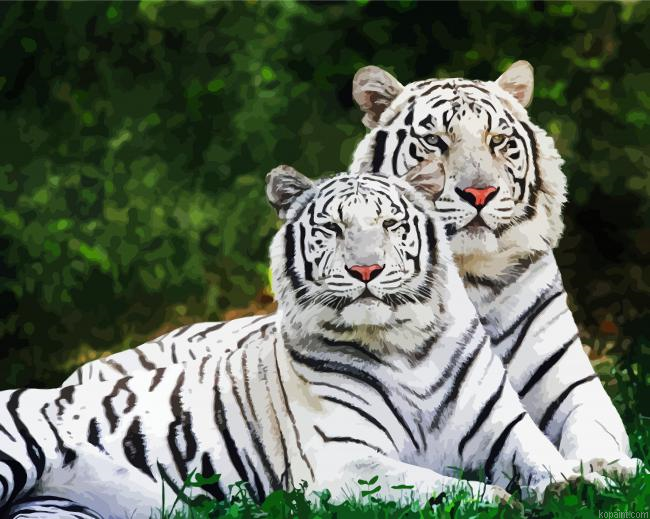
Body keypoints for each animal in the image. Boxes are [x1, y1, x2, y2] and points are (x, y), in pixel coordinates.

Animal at [1, 168, 604, 519]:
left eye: (391, 224)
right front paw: (498, 501)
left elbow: (545, 460)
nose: (366, 270)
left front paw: (580, 484)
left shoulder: (505, 429)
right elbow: (432, 483)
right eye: (332, 229)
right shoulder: (341, 461)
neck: (404, 346)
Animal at [347, 60, 640, 477]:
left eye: (498, 140)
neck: (471, 275)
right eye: (435, 141)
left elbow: (593, 425)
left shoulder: (572, 383)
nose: (480, 193)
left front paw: (607, 466)